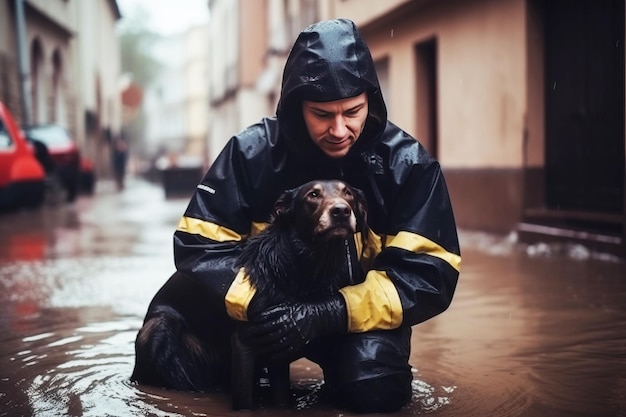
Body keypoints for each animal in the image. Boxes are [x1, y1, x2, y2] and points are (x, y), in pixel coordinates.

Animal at [130, 180, 368, 410]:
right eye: (313, 195)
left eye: (347, 193)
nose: (341, 211)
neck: (304, 267)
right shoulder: (244, 343)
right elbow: (244, 404)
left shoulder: (282, 340)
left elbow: (281, 399)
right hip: (158, 328)